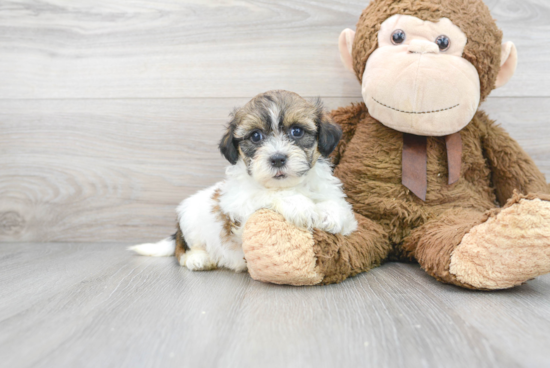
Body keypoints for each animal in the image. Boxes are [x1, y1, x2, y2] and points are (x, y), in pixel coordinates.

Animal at [132, 90, 360, 272]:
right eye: (256, 136)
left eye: (297, 131)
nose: (278, 158)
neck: (292, 185)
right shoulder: (239, 207)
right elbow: (268, 194)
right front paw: (300, 206)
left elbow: (341, 209)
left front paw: (331, 214)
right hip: (189, 222)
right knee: (181, 252)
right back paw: (198, 258)